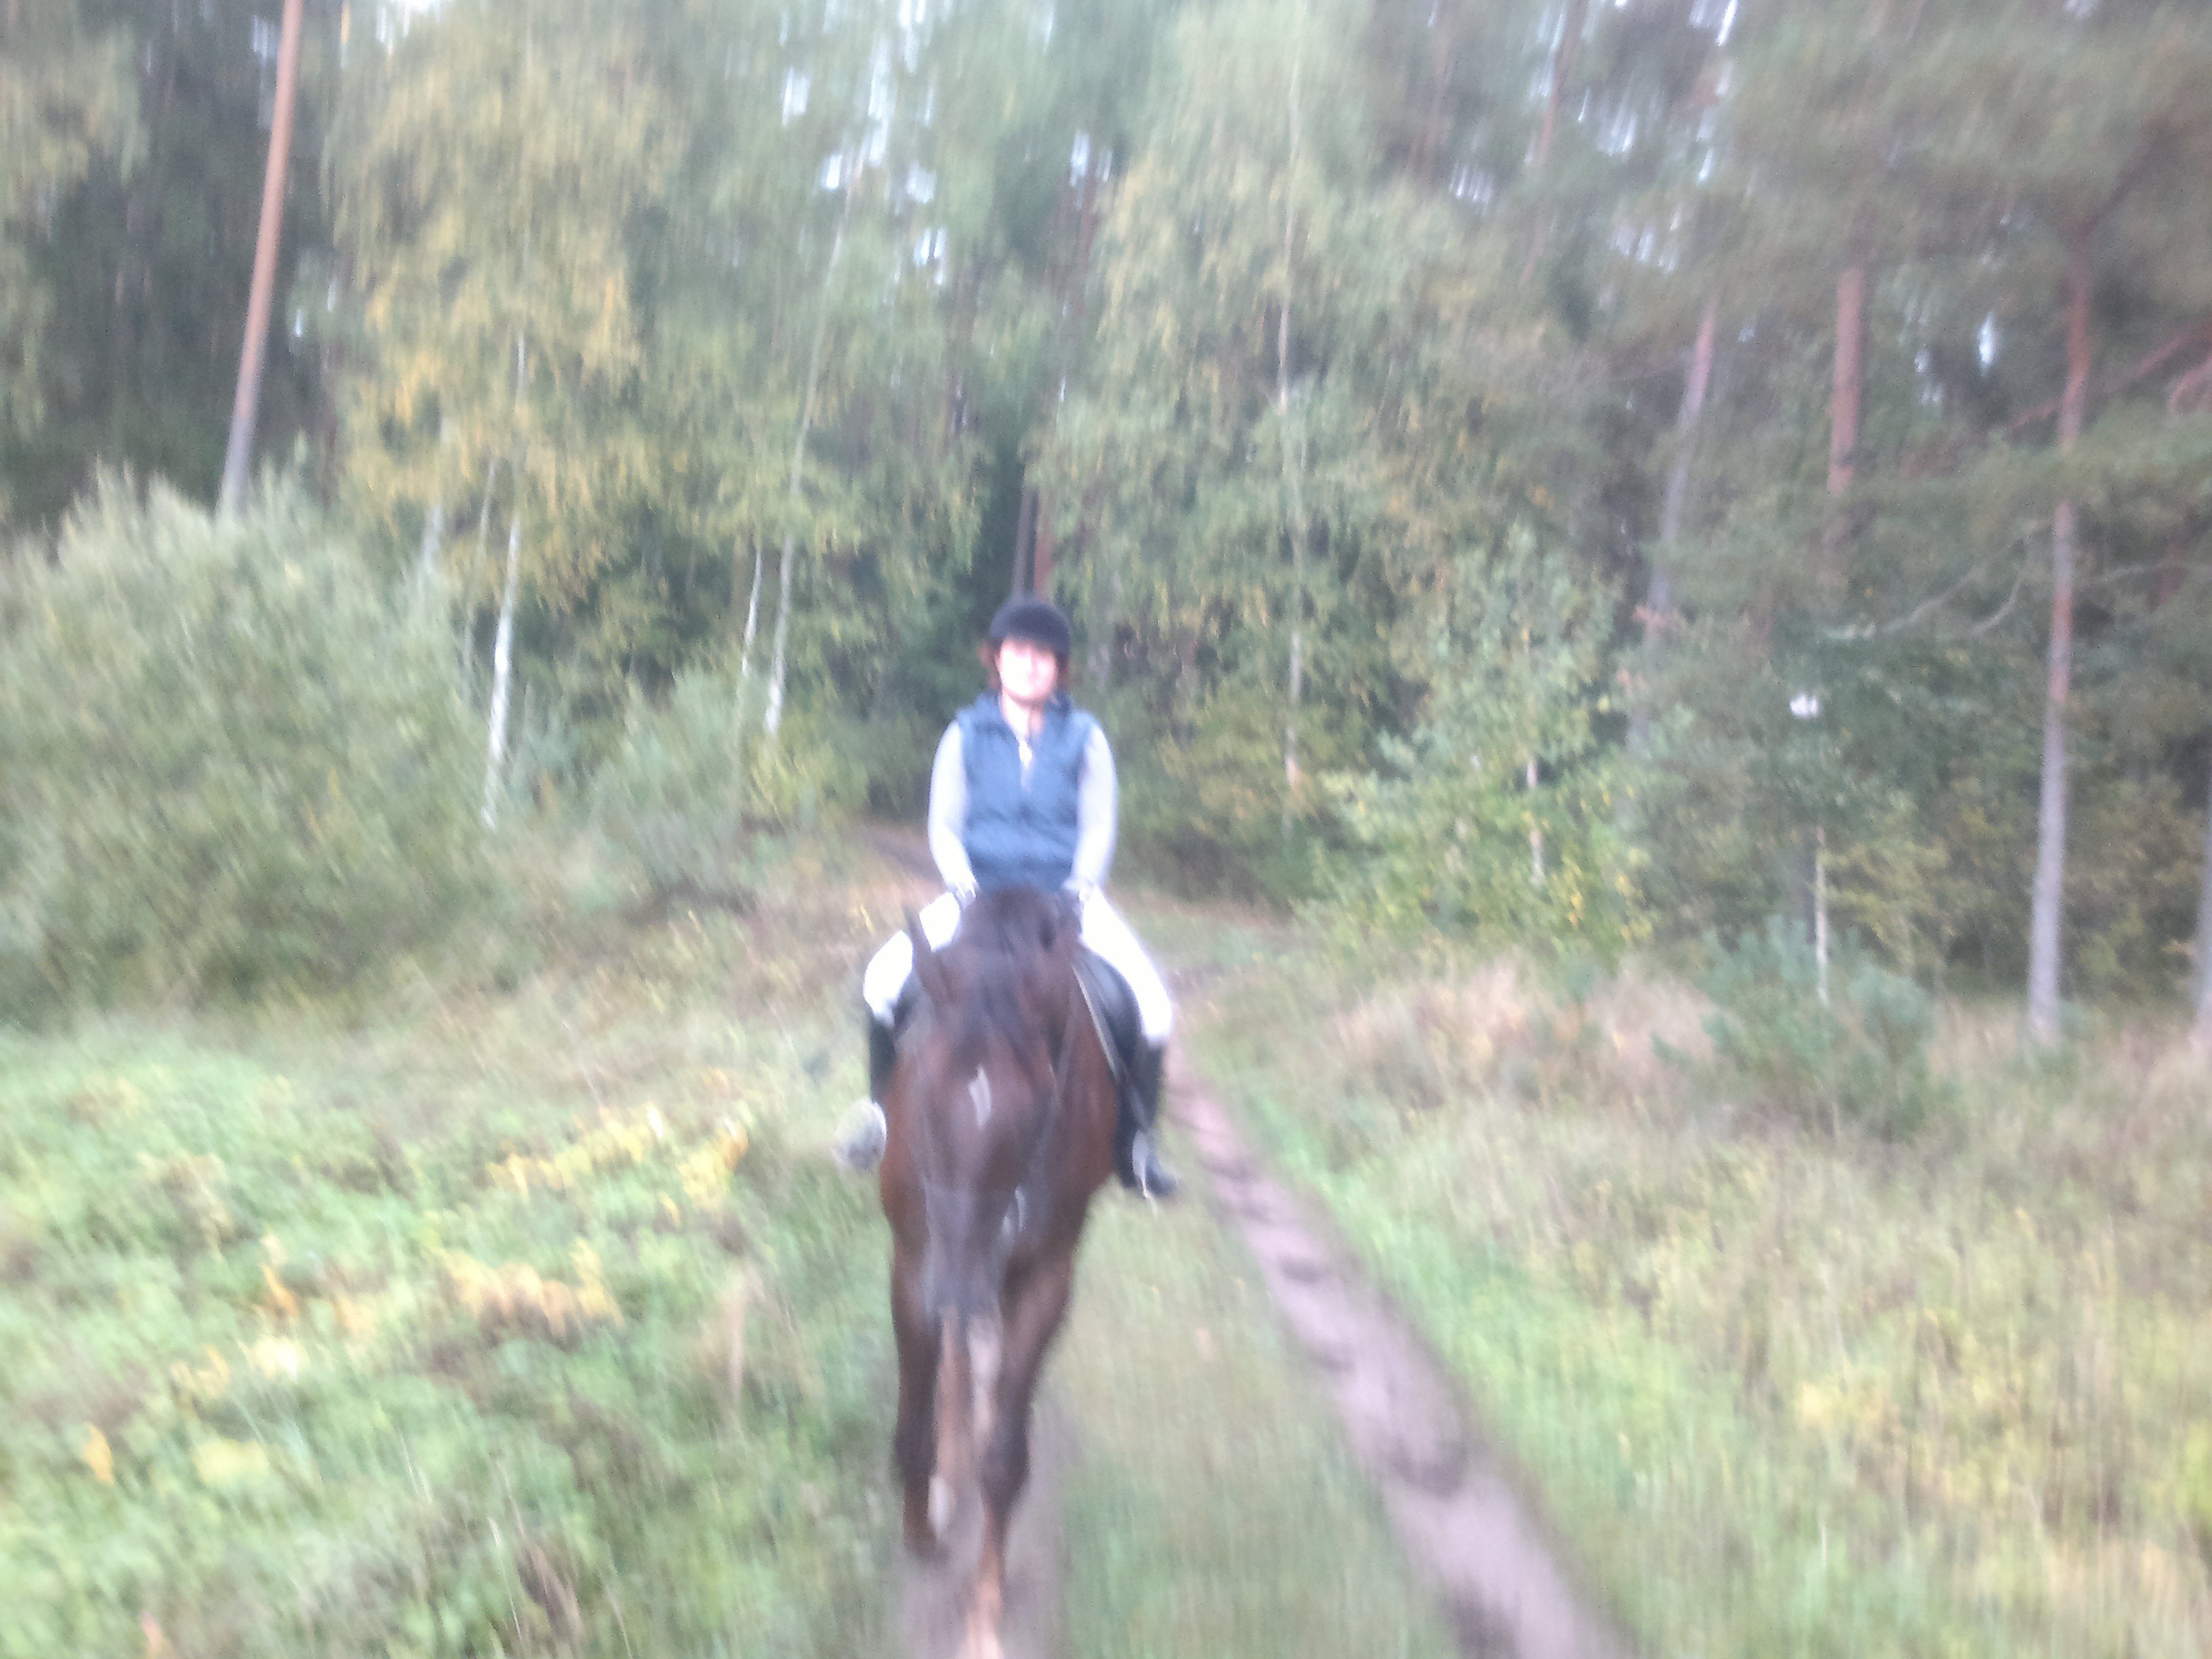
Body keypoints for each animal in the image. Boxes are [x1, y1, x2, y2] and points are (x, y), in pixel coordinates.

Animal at [879, 885, 1120, 1659]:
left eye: (1037, 1111)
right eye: (920, 1094)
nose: (955, 1290)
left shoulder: (1041, 1278)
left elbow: (1006, 1459)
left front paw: (984, 1613)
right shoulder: (914, 1264)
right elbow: (914, 1426)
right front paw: (922, 1531)